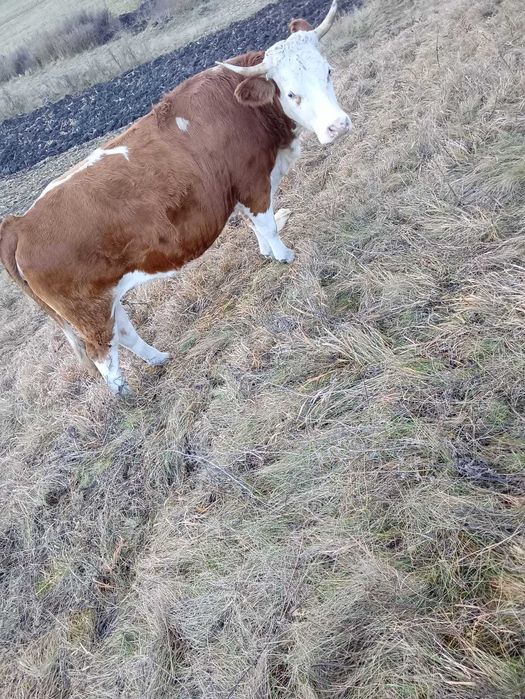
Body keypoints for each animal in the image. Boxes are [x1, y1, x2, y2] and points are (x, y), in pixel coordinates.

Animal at [0, 1, 351, 395]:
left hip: (103, 298)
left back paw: (159, 359)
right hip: (86, 312)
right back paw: (124, 393)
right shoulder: (252, 181)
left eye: (328, 72)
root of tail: (19, 223)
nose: (337, 126)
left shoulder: (240, 190)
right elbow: (267, 224)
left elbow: (256, 226)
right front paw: (285, 256)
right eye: (290, 93)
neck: (239, 107)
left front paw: (266, 252)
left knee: (122, 332)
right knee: (102, 354)